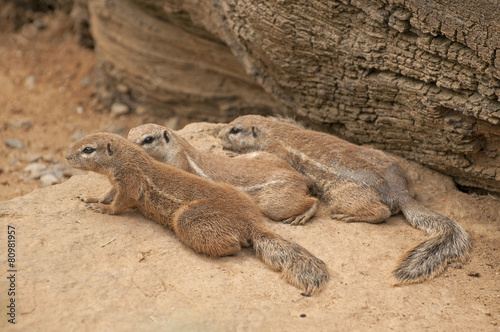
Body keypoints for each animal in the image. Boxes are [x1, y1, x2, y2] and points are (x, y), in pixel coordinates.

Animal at [127, 123, 318, 224]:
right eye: (128, 133)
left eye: (148, 139)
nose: (127, 144)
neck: (178, 145)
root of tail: (300, 178)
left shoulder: (178, 164)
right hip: (266, 158)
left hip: (274, 204)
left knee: (313, 201)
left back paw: (302, 216)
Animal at [219, 115, 468, 284]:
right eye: (232, 122)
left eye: (235, 129)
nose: (218, 134)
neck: (274, 131)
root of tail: (400, 192)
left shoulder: (277, 154)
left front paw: (235, 155)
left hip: (342, 195)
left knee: (382, 213)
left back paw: (349, 216)